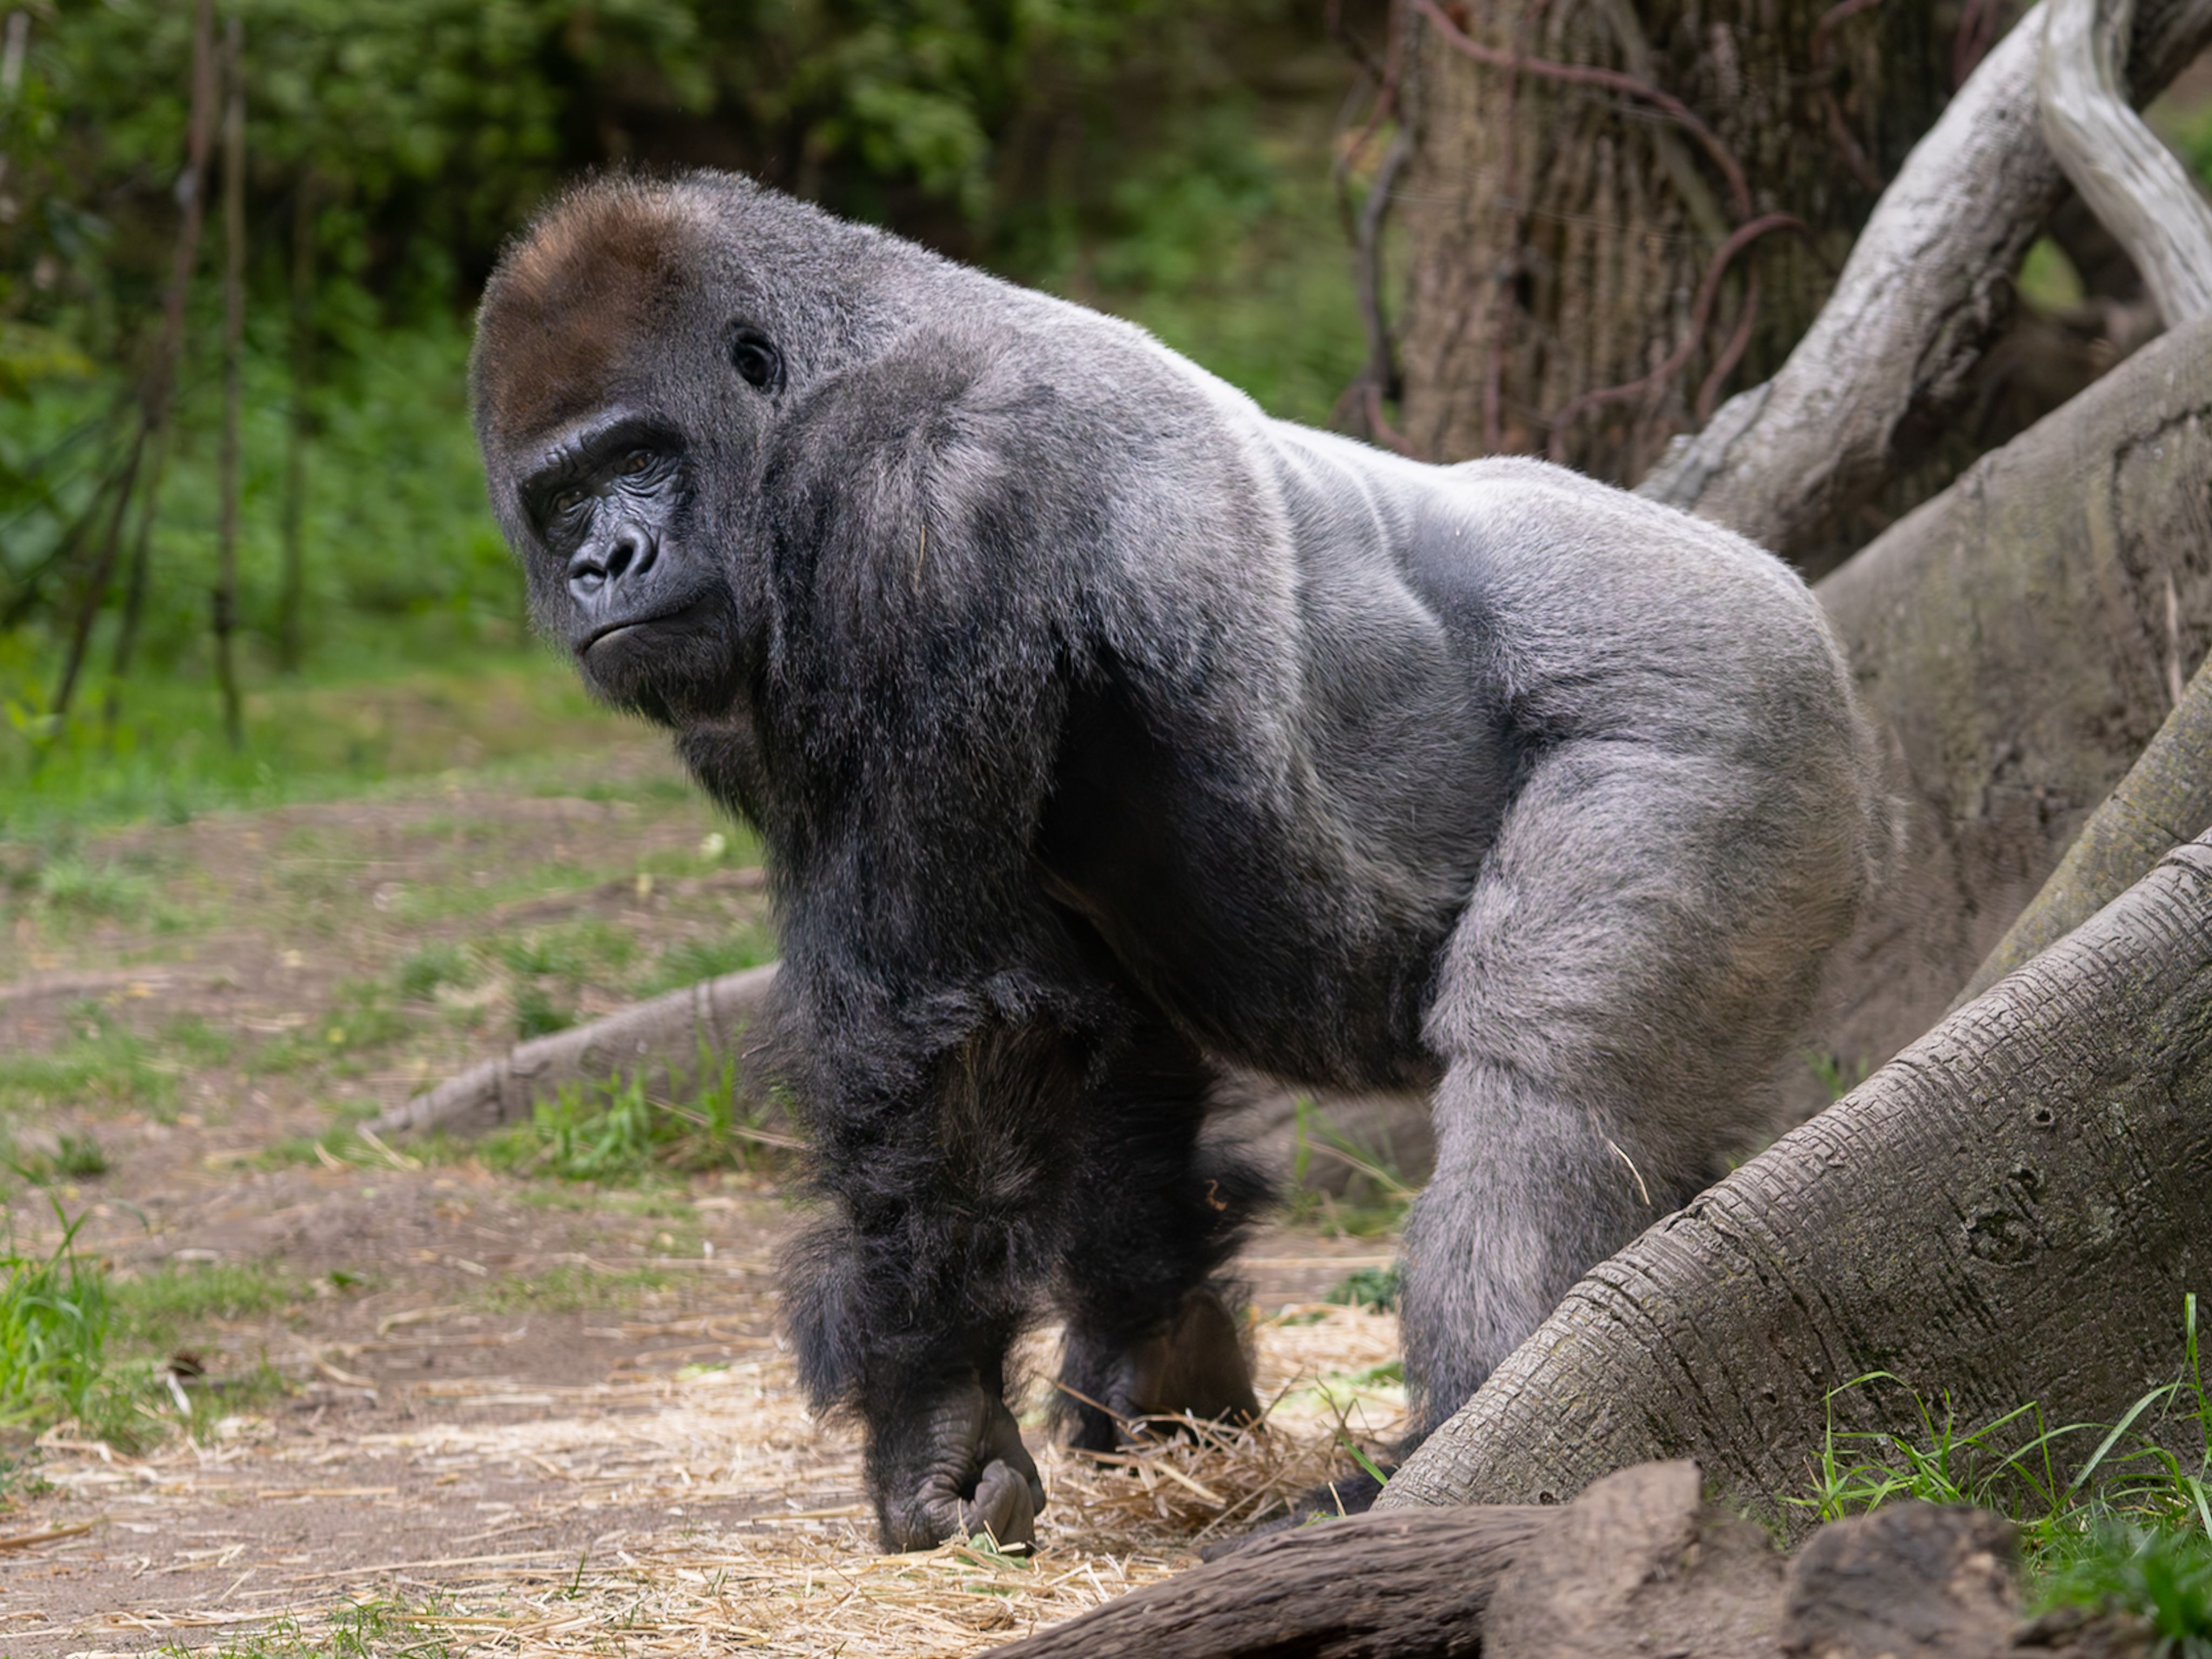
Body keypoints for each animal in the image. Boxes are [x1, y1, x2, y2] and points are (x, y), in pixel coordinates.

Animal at [470, 171, 1886, 1553]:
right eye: (560, 498)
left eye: (639, 458)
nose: (601, 563)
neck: (824, 363)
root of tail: (1796, 600)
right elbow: (1088, 1032)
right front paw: (1158, 1364)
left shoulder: (914, 500)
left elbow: (947, 1027)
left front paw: (934, 1415)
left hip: (1727, 703)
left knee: (1550, 1084)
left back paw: (1462, 1437)